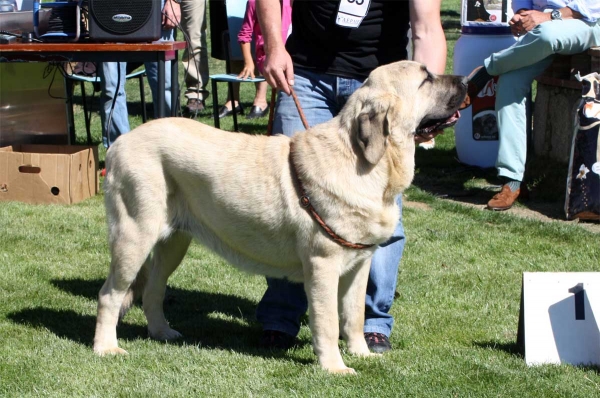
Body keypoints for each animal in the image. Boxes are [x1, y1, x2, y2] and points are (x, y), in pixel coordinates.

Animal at [94, 61, 468, 374]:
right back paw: (106, 348)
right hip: (135, 235)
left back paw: (162, 332)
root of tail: (119, 142)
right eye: (425, 78)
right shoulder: (323, 265)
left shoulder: (359, 264)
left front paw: (361, 353)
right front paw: (334, 368)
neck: (366, 163)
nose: (466, 80)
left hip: (173, 242)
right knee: (110, 293)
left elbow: (353, 316)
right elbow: (328, 322)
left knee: (153, 290)